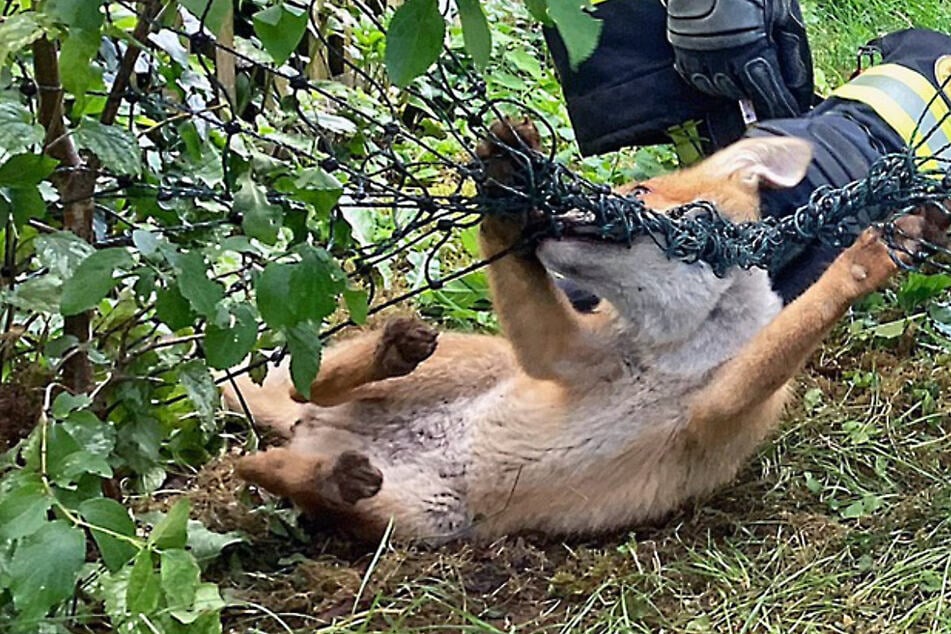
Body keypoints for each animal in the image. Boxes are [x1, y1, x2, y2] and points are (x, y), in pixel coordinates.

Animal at [225, 119, 945, 544]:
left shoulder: (720, 409)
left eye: (639, 190)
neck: (674, 350)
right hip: (457, 378)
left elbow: (795, 324)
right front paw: (504, 176)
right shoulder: (562, 357)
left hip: (425, 517)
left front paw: (874, 251)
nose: (550, 213)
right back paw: (385, 353)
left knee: (262, 463)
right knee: (304, 390)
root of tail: (319, 436)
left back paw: (322, 472)